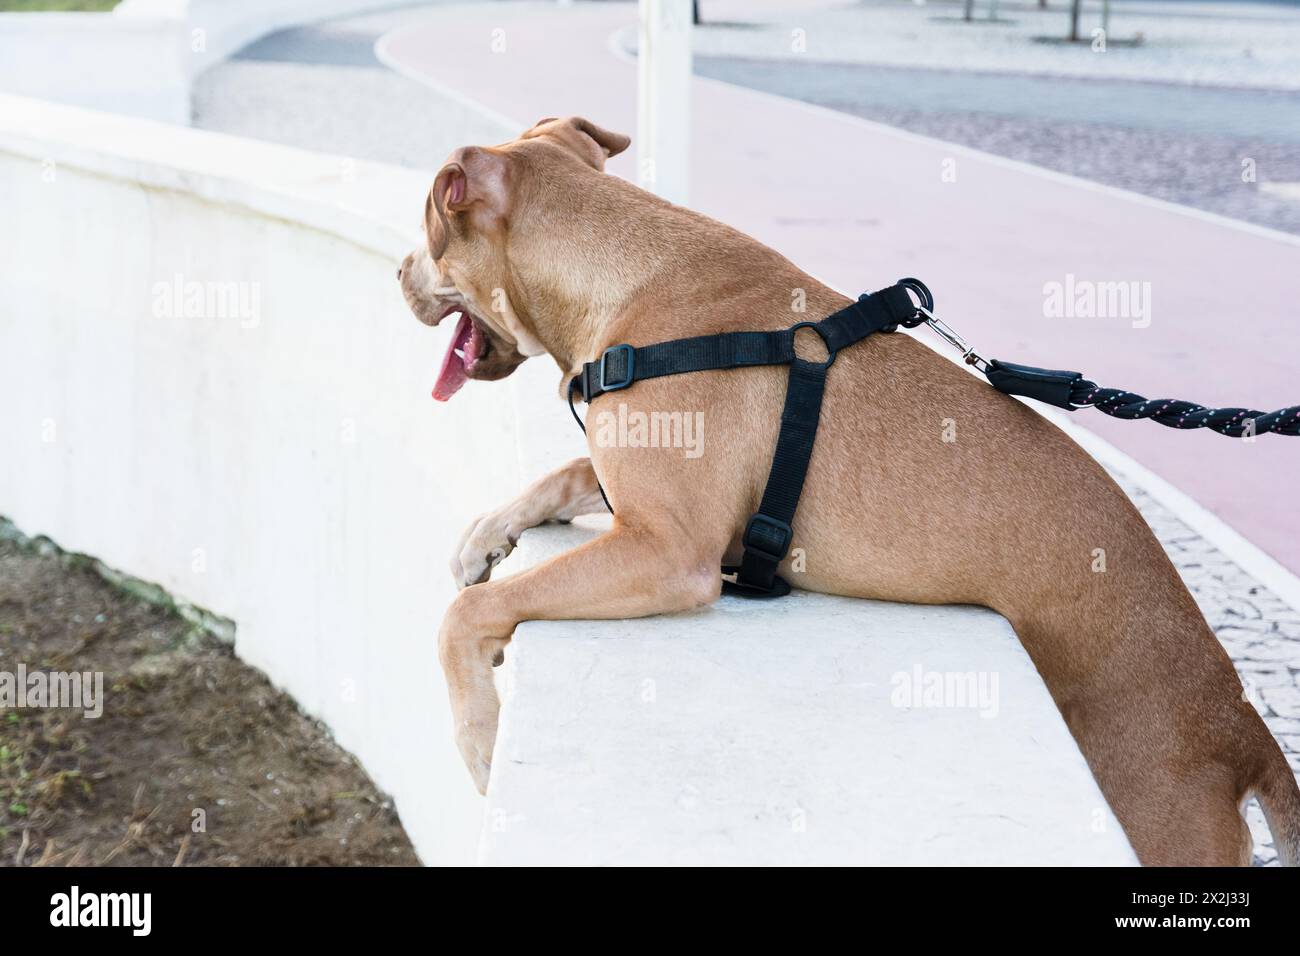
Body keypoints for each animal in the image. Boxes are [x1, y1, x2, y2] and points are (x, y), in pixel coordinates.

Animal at [397, 115, 1300, 863]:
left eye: (428, 236)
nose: (401, 271)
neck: (622, 275)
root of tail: (1244, 729)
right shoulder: (640, 496)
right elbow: (559, 477)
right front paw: (485, 536)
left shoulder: (668, 550)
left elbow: (463, 616)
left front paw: (480, 741)